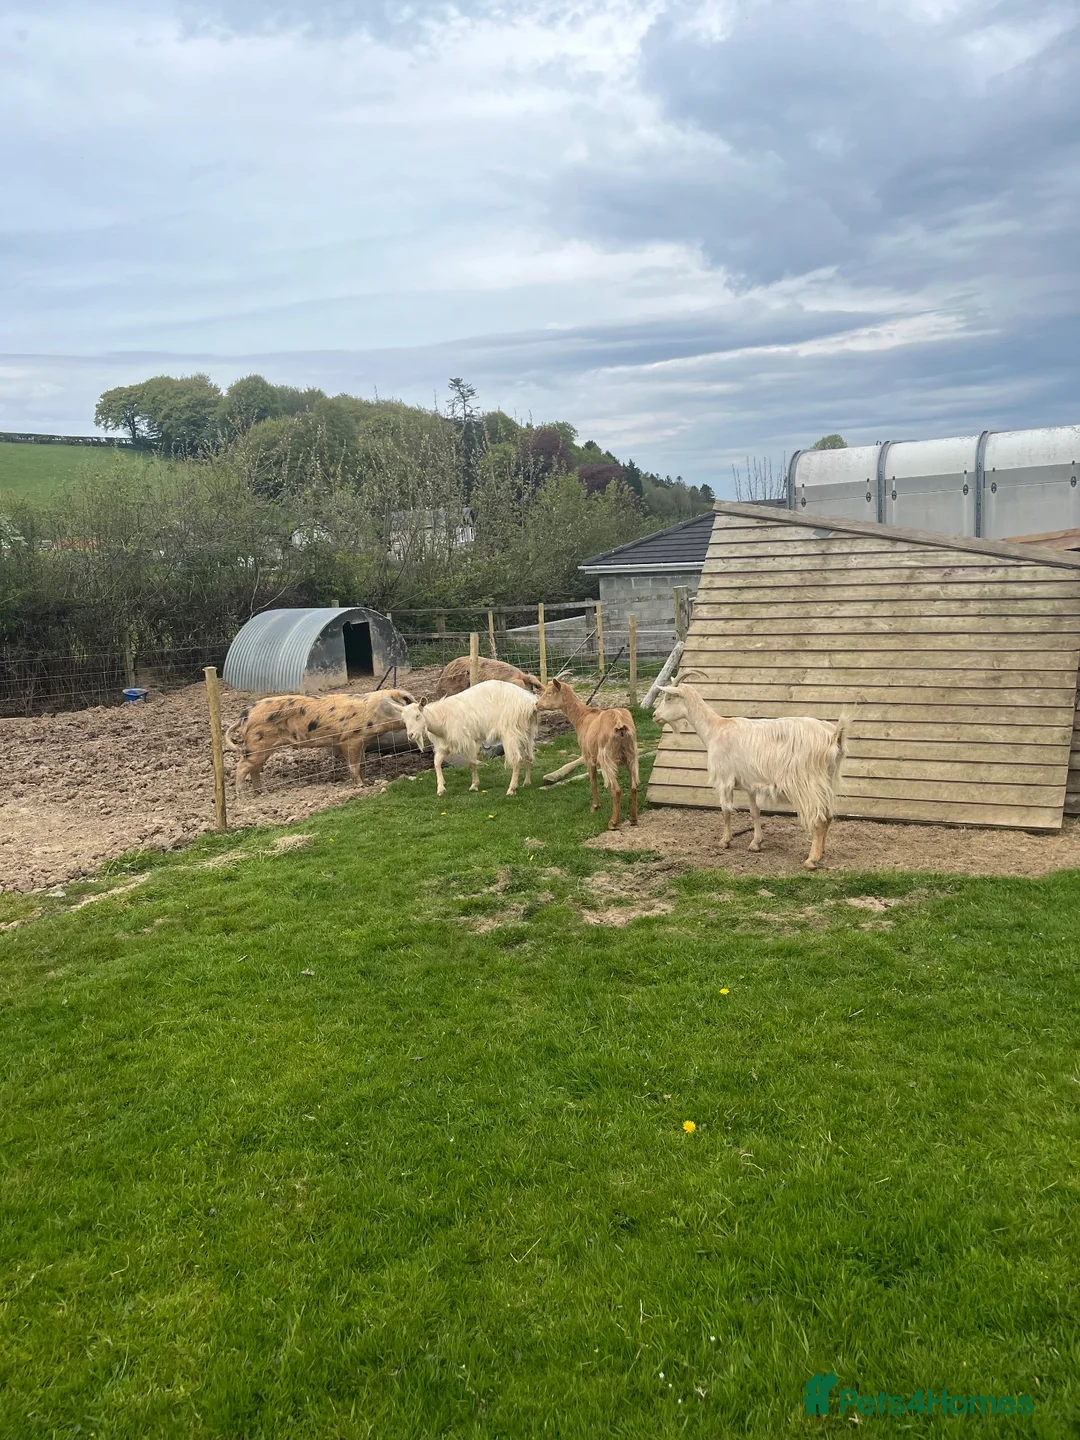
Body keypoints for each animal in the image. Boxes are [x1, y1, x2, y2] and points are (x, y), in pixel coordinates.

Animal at [224, 688, 415, 794]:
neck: (372, 713)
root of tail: (245, 716)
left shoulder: (362, 742)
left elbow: (361, 764)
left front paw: (366, 782)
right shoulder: (350, 739)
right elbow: (354, 765)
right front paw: (361, 786)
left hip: (262, 748)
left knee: (254, 768)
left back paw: (262, 792)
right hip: (256, 743)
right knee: (242, 766)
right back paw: (242, 795)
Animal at [400, 679, 538, 797]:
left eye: (418, 716)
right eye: (404, 720)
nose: (411, 735)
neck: (442, 717)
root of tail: (529, 703)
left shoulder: (467, 740)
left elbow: (471, 762)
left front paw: (474, 785)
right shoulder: (446, 745)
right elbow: (437, 763)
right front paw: (441, 788)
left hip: (510, 732)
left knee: (516, 759)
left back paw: (512, 789)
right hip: (526, 732)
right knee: (528, 757)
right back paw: (526, 782)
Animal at [535, 677, 638, 829]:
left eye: (549, 692)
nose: (536, 704)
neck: (583, 717)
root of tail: (619, 723)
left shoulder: (588, 756)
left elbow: (593, 781)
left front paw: (595, 807)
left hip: (607, 758)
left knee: (616, 789)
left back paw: (613, 822)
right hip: (632, 756)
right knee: (633, 787)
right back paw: (633, 819)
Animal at [653, 670, 848, 868]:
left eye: (669, 697)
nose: (654, 716)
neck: (715, 729)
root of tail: (833, 736)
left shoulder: (724, 779)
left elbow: (725, 810)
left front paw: (725, 841)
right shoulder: (750, 783)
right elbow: (754, 812)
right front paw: (756, 843)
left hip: (805, 783)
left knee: (819, 818)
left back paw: (811, 859)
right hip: (828, 779)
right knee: (828, 815)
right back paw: (821, 851)